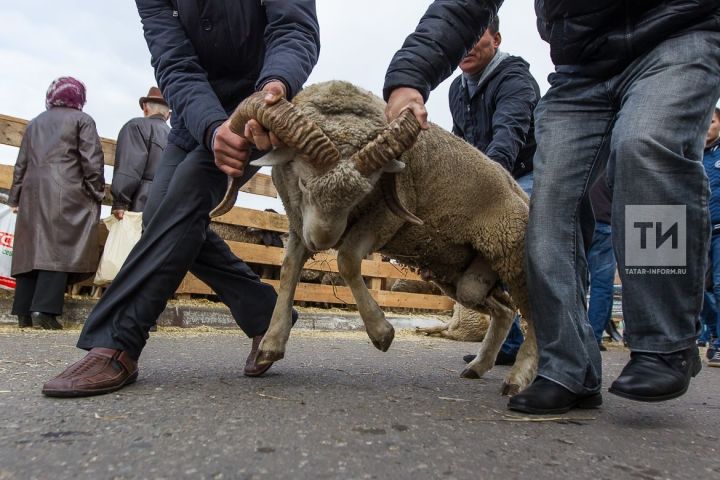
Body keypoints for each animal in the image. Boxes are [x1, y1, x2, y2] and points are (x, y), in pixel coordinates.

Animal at [211, 79, 536, 394]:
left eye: (364, 194)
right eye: (303, 183)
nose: (322, 243)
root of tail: (518, 191)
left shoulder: (386, 218)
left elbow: (346, 260)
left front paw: (382, 333)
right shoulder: (298, 222)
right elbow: (289, 269)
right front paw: (270, 346)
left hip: (510, 251)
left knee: (532, 314)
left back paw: (517, 379)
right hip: (463, 278)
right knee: (505, 310)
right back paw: (478, 366)